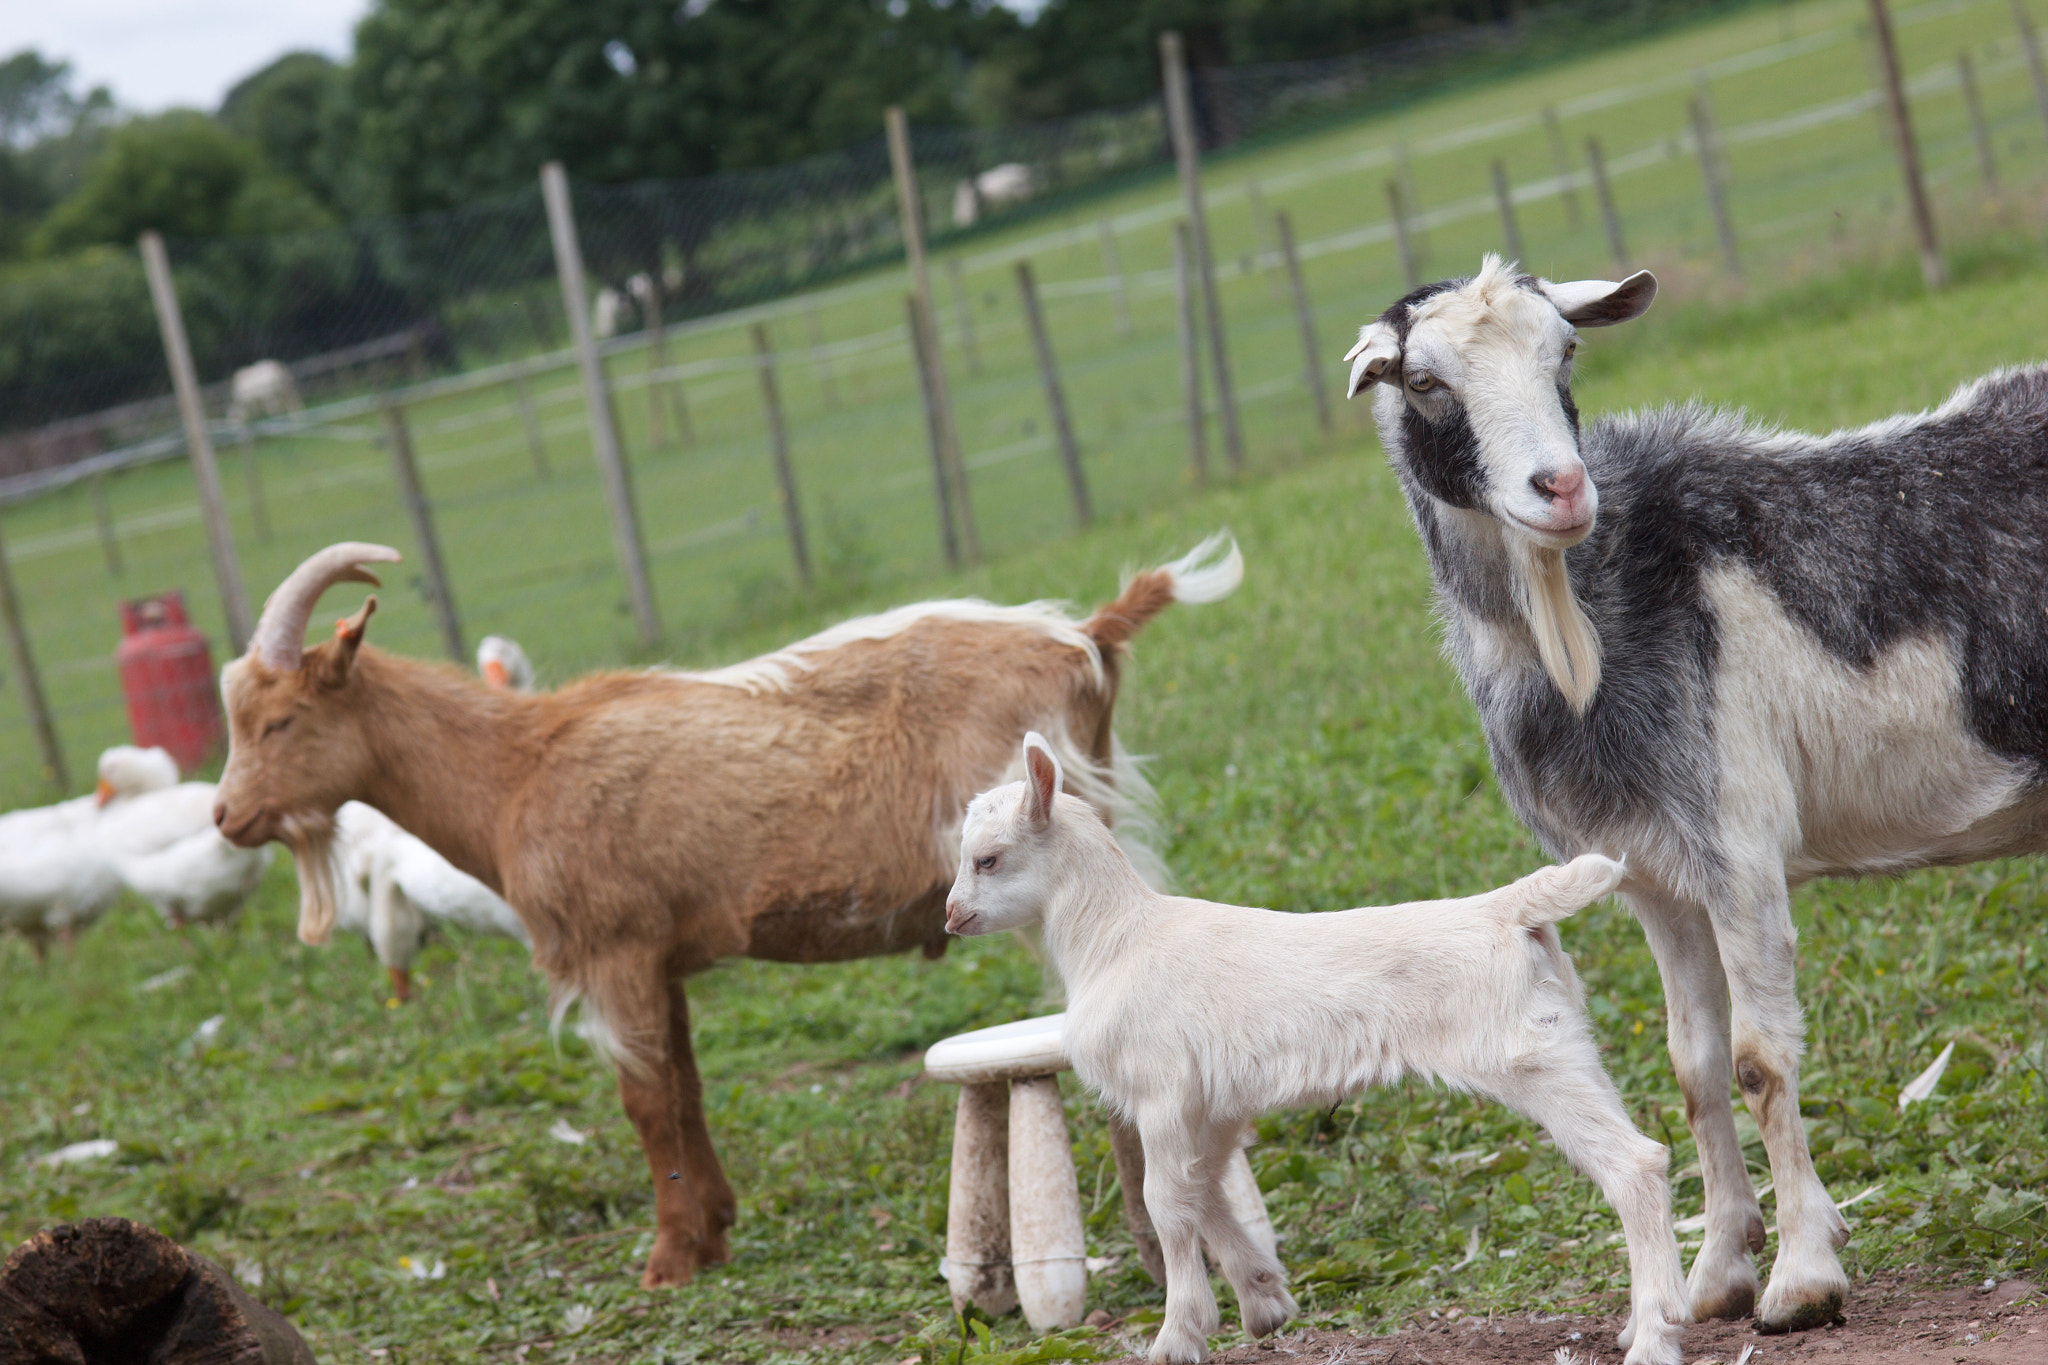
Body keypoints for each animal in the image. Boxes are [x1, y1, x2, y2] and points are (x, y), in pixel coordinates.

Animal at [220, 536, 1245, 1293]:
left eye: (280, 720)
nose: (228, 817)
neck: (519, 767)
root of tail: (1085, 635)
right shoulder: (659, 959)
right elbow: (684, 1083)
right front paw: (714, 1226)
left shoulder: (612, 949)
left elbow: (642, 1101)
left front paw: (669, 1259)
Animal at [950, 736, 1687, 1365]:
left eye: (988, 857)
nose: (953, 917)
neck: (1116, 940)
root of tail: (1508, 909)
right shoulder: (1212, 1103)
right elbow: (1203, 1187)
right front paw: (1264, 1302)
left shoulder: (1162, 1092)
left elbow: (1168, 1202)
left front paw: (1177, 1336)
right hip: (1565, 1042)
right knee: (1640, 1150)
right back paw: (1647, 1319)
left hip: (1524, 1057)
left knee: (1634, 1164)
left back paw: (1656, 1336)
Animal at [1343, 255, 2048, 1334]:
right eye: (1424, 381)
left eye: (1565, 351)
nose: (1560, 487)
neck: (1599, 610)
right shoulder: (1648, 873)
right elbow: (1694, 1066)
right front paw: (1718, 1272)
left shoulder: (1736, 843)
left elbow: (1759, 1058)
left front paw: (1801, 1279)